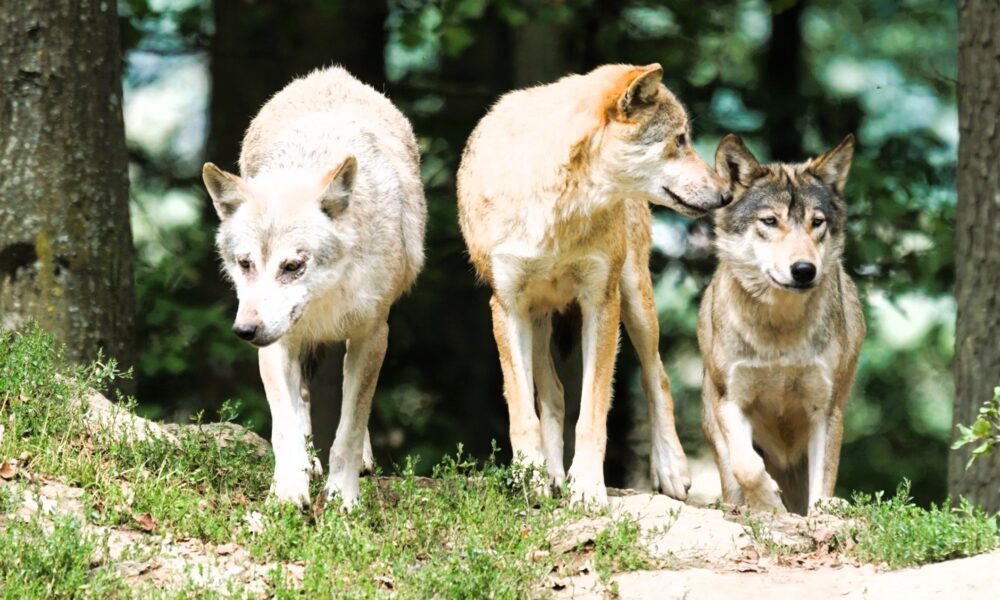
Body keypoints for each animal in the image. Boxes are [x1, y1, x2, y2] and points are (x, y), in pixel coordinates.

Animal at [201, 66, 426, 509]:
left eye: (293, 266)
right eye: (246, 264)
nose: (245, 331)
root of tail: (329, 73)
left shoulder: (373, 334)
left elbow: (350, 428)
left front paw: (343, 497)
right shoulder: (276, 343)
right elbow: (284, 428)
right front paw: (289, 492)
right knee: (301, 400)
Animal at [457, 63, 730, 506]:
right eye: (680, 140)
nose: (725, 194)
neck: (558, 209)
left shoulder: (601, 302)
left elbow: (593, 414)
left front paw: (586, 487)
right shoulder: (507, 306)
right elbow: (523, 413)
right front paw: (531, 479)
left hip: (635, 299)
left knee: (656, 375)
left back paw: (670, 469)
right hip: (537, 318)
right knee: (552, 393)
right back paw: (550, 475)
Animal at [698, 134, 865, 515]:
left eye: (817, 222)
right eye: (770, 221)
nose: (804, 270)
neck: (779, 330)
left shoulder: (826, 410)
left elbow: (822, 487)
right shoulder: (731, 399)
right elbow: (747, 466)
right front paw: (769, 504)